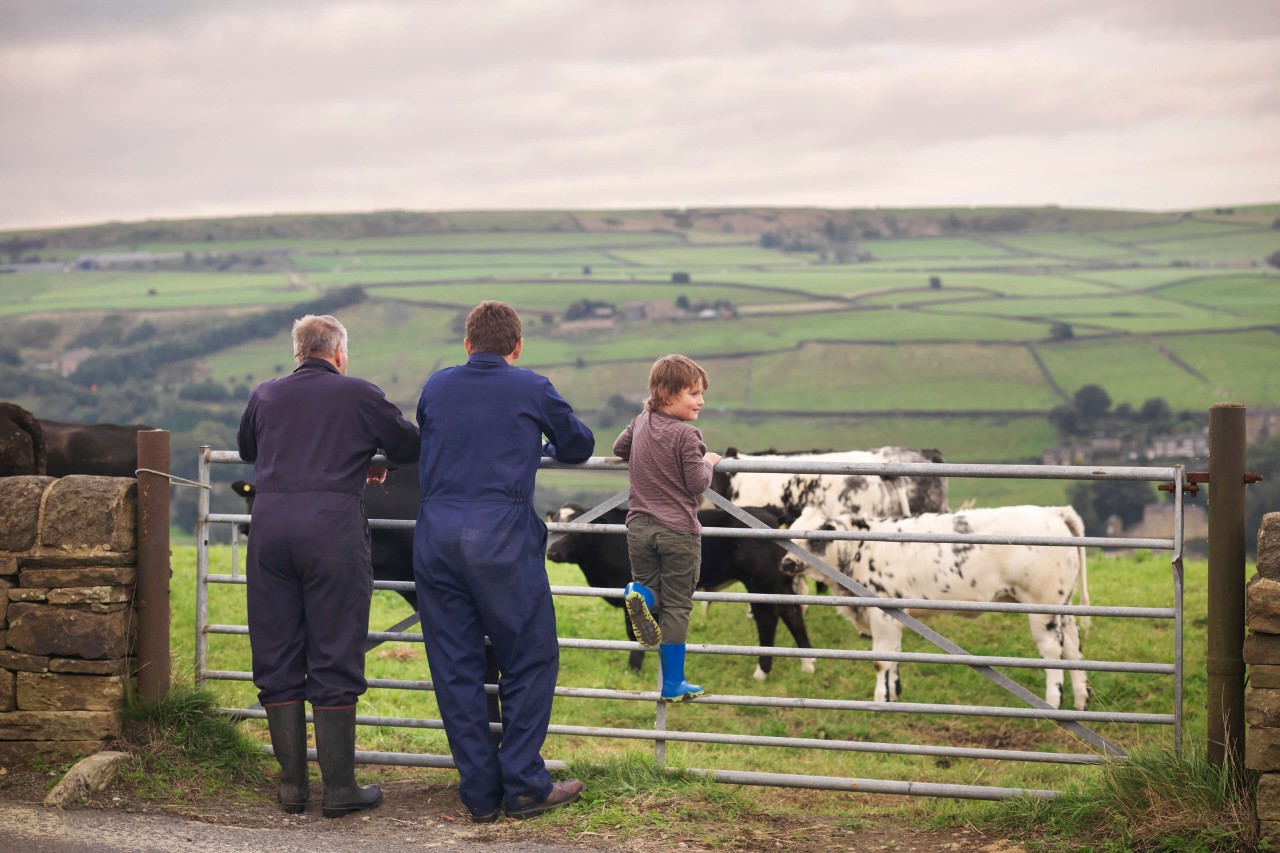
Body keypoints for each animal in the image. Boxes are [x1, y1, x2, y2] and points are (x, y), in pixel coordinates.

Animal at [542, 504, 808, 676]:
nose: (552, 552)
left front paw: (634, 668)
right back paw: (807, 664)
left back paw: (762, 670)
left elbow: (633, 632)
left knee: (768, 620)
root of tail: (768, 512)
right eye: (554, 523)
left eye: (577, 529)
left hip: (761, 583)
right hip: (778, 581)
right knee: (792, 614)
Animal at [778, 502, 1090, 706]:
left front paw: (880, 700)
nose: (787, 563)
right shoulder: (896, 614)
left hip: (1043, 606)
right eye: (790, 530)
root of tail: (1052, 511)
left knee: (1053, 652)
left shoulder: (882, 614)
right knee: (1074, 648)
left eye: (815, 536)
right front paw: (895, 695)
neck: (860, 549)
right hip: (1064, 606)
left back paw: (1054, 703)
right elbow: (895, 656)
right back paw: (1081, 700)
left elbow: (881, 660)